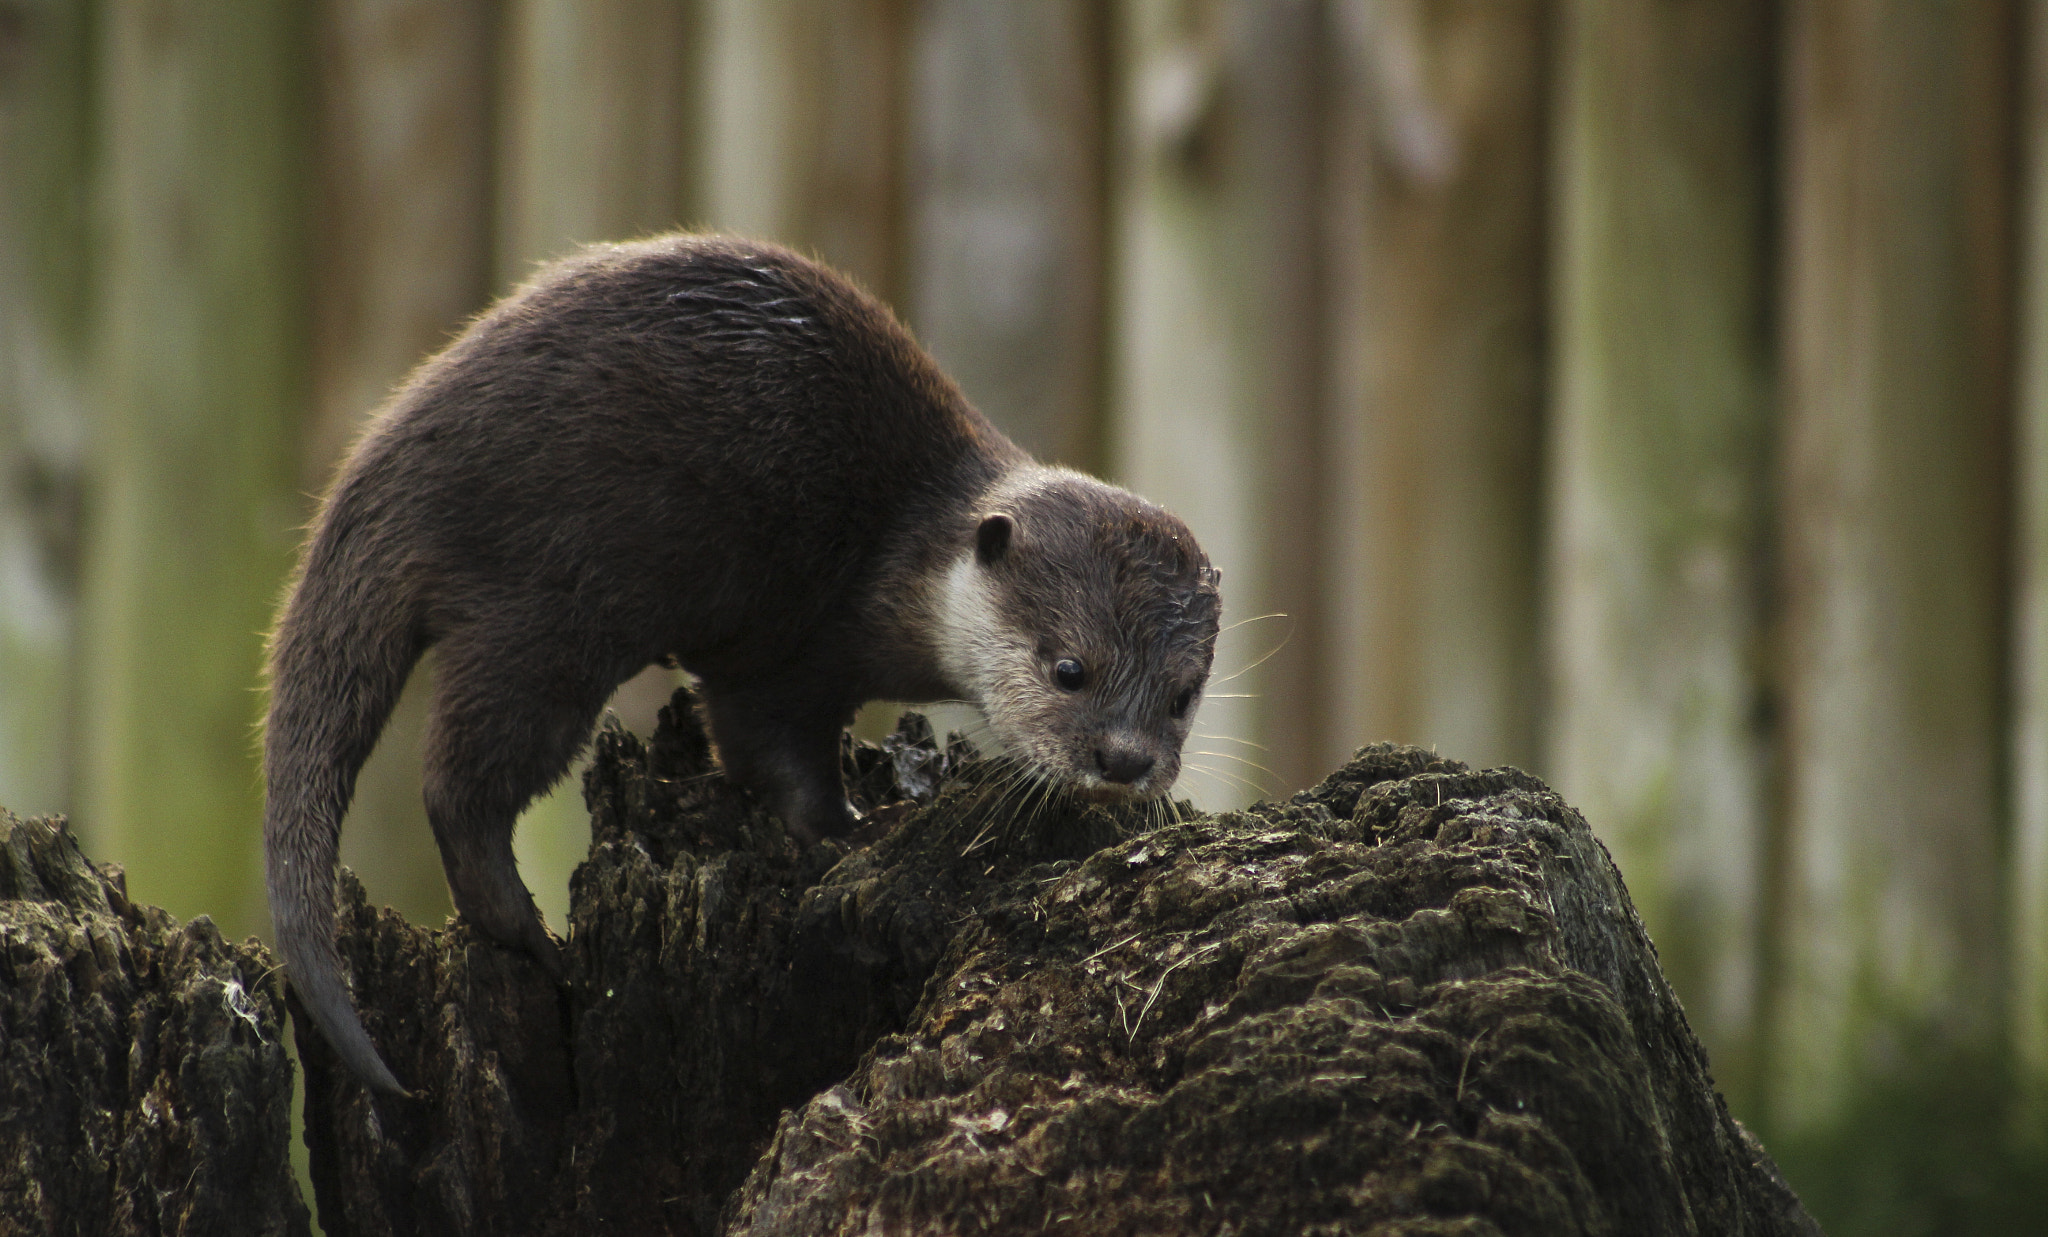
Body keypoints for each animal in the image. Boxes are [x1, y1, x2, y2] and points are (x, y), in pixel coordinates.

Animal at [256, 231, 1212, 1089]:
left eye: (1183, 695)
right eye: (1069, 668)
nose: (1124, 759)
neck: (897, 552)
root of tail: (393, 459)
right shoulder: (792, 647)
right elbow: (772, 754)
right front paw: (853, 825)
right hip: (548, 602)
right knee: (463, 781)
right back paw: (536, 939)